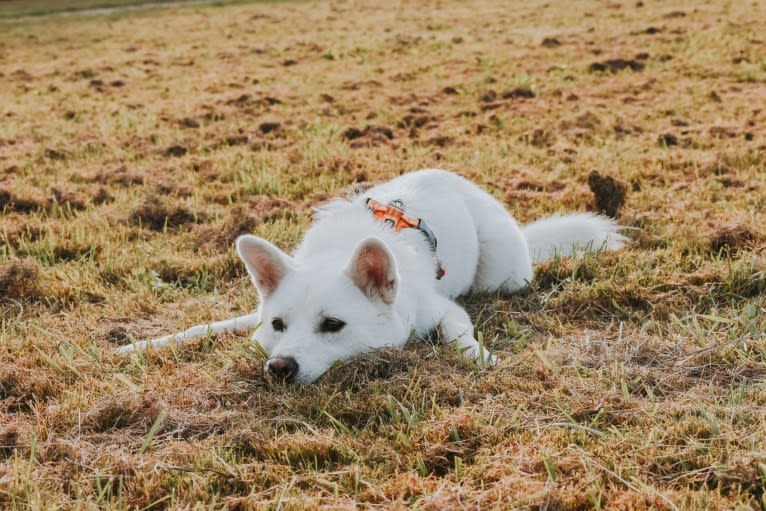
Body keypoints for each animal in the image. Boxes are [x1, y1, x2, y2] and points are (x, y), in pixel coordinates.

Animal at [117, 170, 628, 382]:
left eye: (333, 325)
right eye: (280, 325)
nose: (279, 368)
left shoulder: (443, 309)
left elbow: (459, 334)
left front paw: (479, 356)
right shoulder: (255, 319)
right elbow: (207, 326)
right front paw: (141, 345)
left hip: (504, 274)